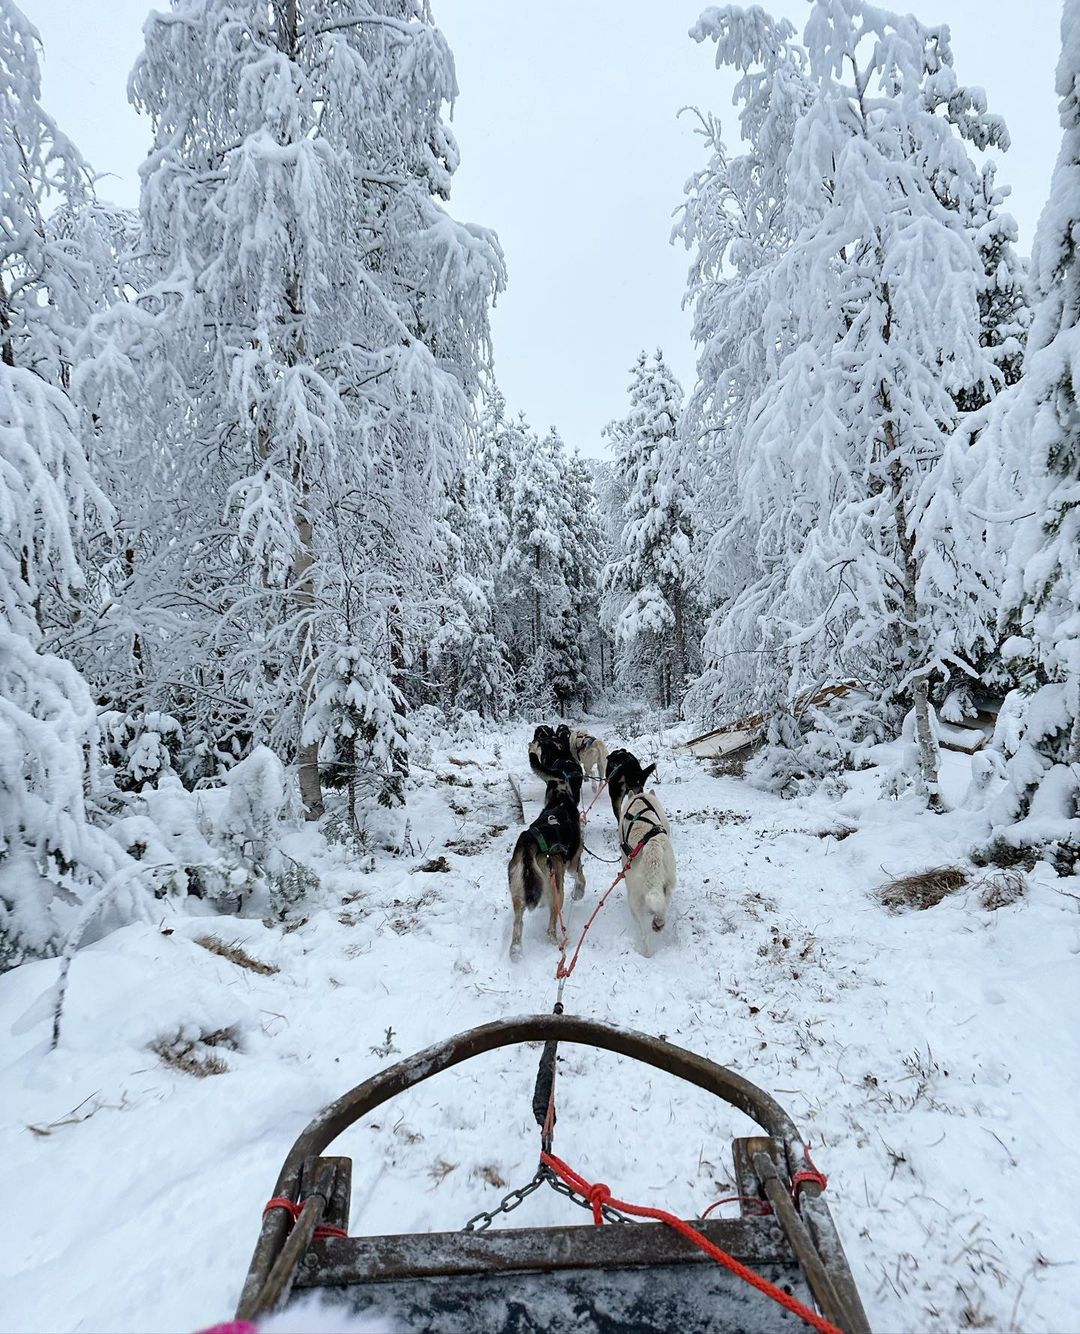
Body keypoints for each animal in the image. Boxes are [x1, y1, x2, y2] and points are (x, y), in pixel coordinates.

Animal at [509, 779, 584, 960]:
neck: (560, 800)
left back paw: (516, 951)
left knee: (517, 924)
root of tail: (529, 841)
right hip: (558, 891)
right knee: (550, 929)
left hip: (518, 892)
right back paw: (559, 945)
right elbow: (580, 876)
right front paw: (579, 892)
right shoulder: (573, 862)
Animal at [613, 784, 672, 955]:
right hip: (669, 881)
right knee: (663, 903)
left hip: (634, 900)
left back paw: (646, 953)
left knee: (643, 932)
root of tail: (652, 849)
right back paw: (658, 922)